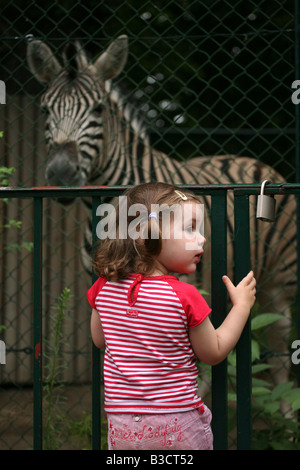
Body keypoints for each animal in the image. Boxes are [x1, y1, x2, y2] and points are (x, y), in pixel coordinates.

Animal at [27, 35, 296, 414]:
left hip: (281, 277)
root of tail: (248, 158)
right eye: (45, 110)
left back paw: (284, 411)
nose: (60, 175)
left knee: (278, 341)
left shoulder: (191, 283)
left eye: (99, 110)